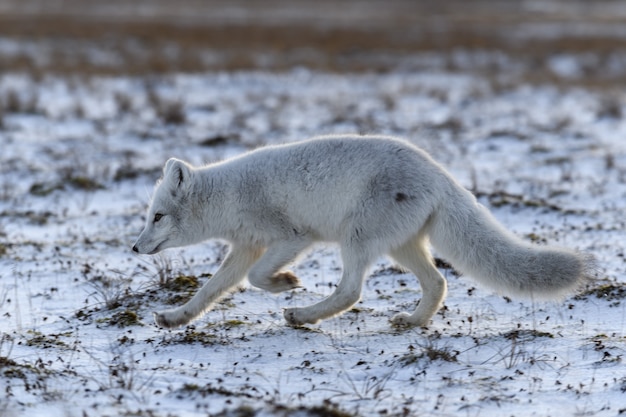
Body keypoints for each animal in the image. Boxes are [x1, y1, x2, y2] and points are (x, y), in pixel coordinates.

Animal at [132, 134, 588, 328]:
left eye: (157, 217)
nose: (135, 248)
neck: (228, 197)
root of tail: (441, 175)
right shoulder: (247, 246)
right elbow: (211, 290)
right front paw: (175, 317)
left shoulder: (292, 236)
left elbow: (256, 277)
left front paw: (286, 282)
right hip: (401, 247)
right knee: (438, 282)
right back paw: (414, 322)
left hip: (358, 239)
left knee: (352, 290)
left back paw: (302, 315)